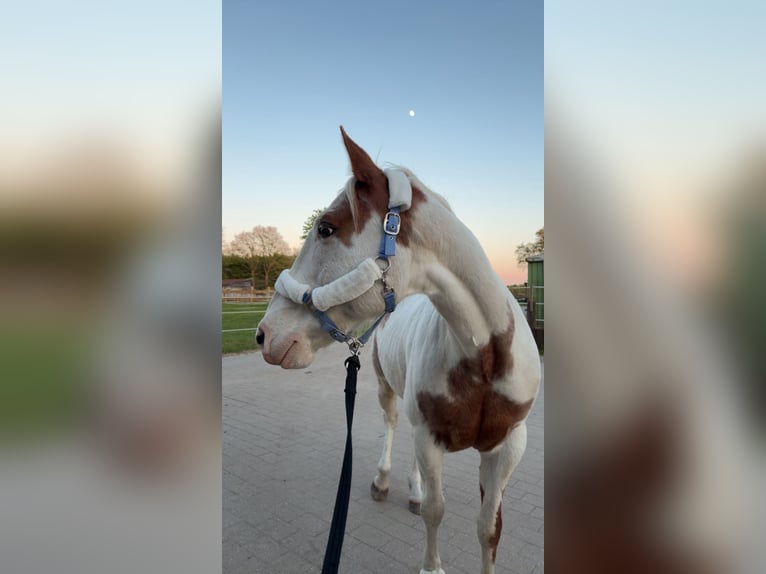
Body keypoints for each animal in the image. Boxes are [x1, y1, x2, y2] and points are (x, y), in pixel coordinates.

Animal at [256, 127, 541, 574]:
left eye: (325, 228)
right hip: (387, 390)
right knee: (392, 427)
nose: (266, 334)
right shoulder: (430, 437)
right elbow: (435, 512)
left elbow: (489, 528)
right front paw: (431, 565)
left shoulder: (508, 447)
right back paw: (386, 481)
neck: (486, 356)